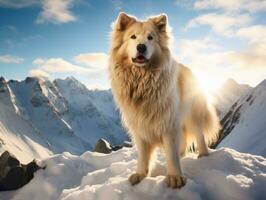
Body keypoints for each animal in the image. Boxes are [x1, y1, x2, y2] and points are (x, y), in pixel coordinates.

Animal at [108, 12, 220, 189]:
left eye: (150, 37)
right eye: (133, 37)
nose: (141, 47)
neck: (142, 82)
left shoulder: (167, 123)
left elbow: (171, 153)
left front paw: (175, 177)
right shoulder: (139, 126)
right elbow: (143, 154)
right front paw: (141, 174)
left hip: (191, 115)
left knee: (198, 134)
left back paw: (203, 155)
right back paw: (182, 154)